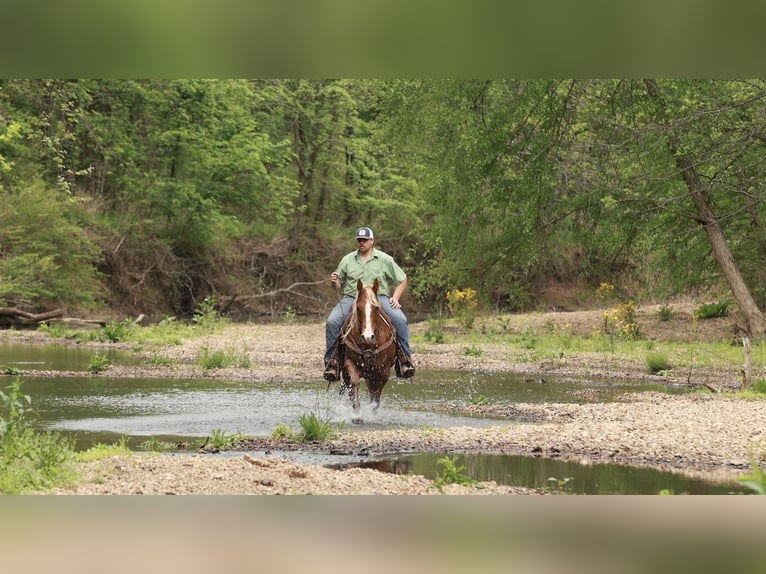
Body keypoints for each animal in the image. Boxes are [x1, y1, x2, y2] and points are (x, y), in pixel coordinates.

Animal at [339, 278, 397, 414]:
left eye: (376, 308)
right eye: (358, 308)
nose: (367, 336)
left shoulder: (383, 371)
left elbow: (376, 396)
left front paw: (372, 411)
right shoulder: (349, 363)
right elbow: (354, 382)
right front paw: (357, 413)